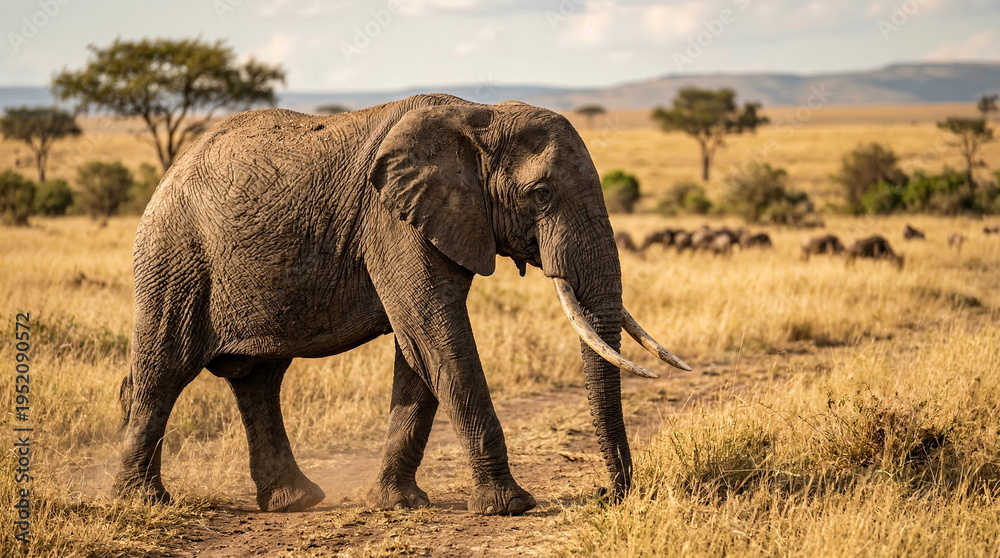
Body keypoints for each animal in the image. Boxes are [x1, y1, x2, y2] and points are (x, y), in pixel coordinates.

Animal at [114, 94, 691, 517]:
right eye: (542, 194)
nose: (608, 494)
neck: (477, 115)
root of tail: (169, 174)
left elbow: (419, 351)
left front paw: (397, 504)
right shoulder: (391, 221)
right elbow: (436, 335)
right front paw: (510, 507)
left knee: (259, 379)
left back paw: (294, 502)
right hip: (175, 257)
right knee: (162, 372)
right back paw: (143, 503)